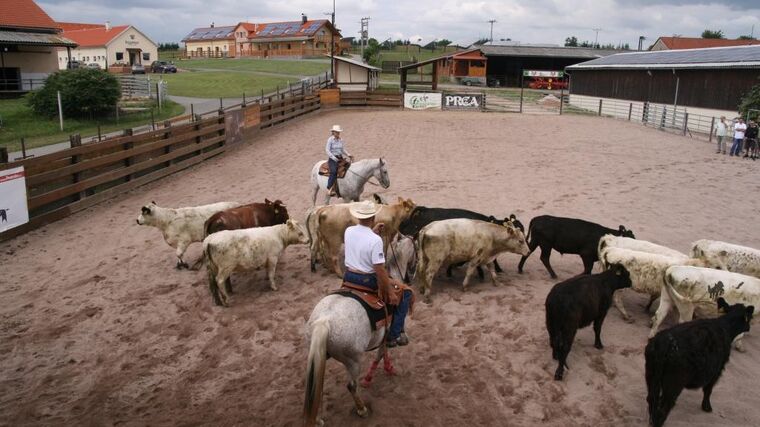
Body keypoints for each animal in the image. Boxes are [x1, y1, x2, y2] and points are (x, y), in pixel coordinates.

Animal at [304, 294, 398, 424]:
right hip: (353, 362)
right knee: (352, 386)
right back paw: (362, 410)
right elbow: (381, 354)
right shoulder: (384, 337)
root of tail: (324, 320)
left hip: (319, 355)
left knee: (316, 385)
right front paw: (386, 369)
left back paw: (317, 420)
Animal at [648, 298, 756, 427]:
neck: (725, 327)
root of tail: (664, 344)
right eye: (748, 317)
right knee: (663, 409)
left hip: (652, 377)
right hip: (673, 384)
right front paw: (707, 407)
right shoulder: (717, 371)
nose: (749, 327)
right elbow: (708, 389)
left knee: (651, 400)